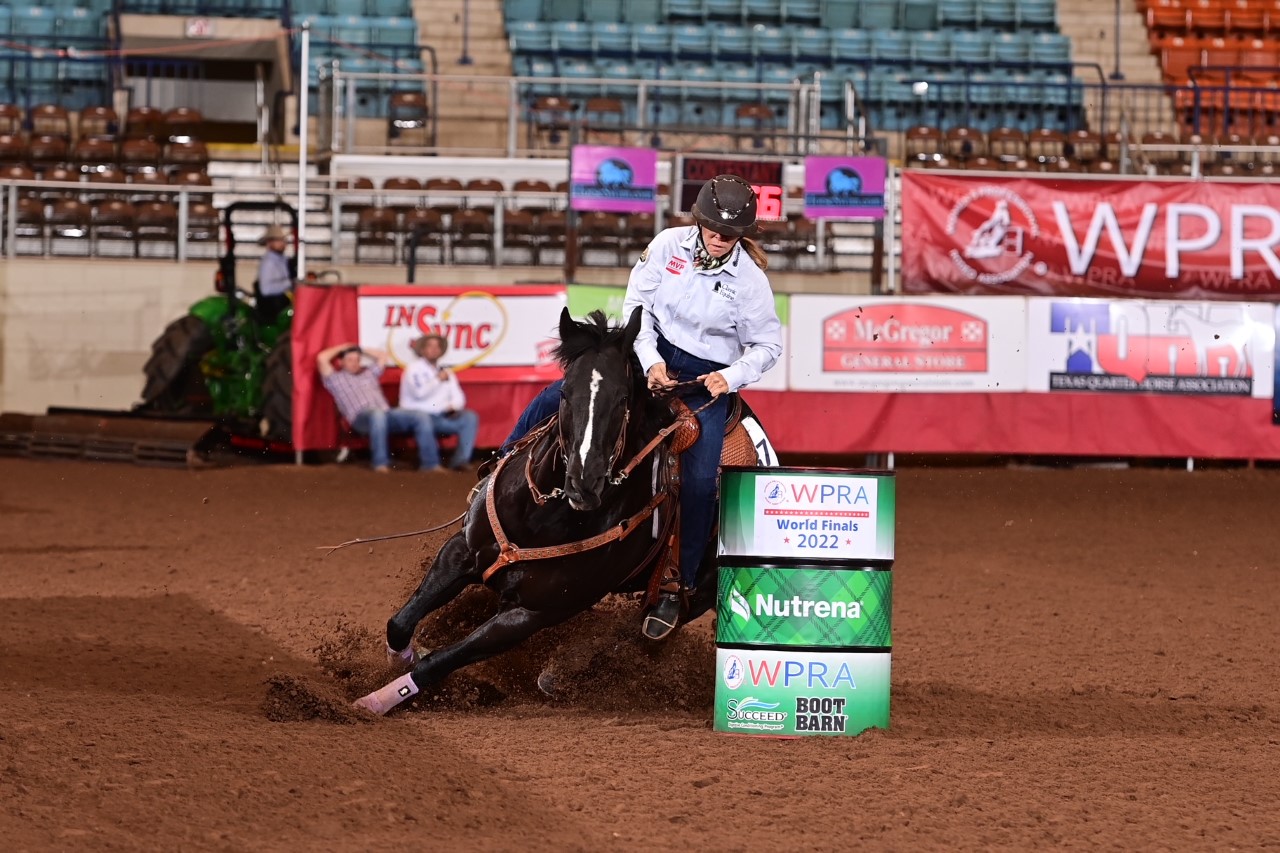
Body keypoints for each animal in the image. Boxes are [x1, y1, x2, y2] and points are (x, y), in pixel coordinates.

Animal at [355, 308, 721, 712]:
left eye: (622, 398)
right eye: (563, 392)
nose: (583, 482)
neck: (540, 515)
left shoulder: (530, 615)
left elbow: (439, 662)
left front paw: (375, 701)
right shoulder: (459, 551)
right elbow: (400, 623)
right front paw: (403, 658)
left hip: (701, 591)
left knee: (644, 632)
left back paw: (561, 674)